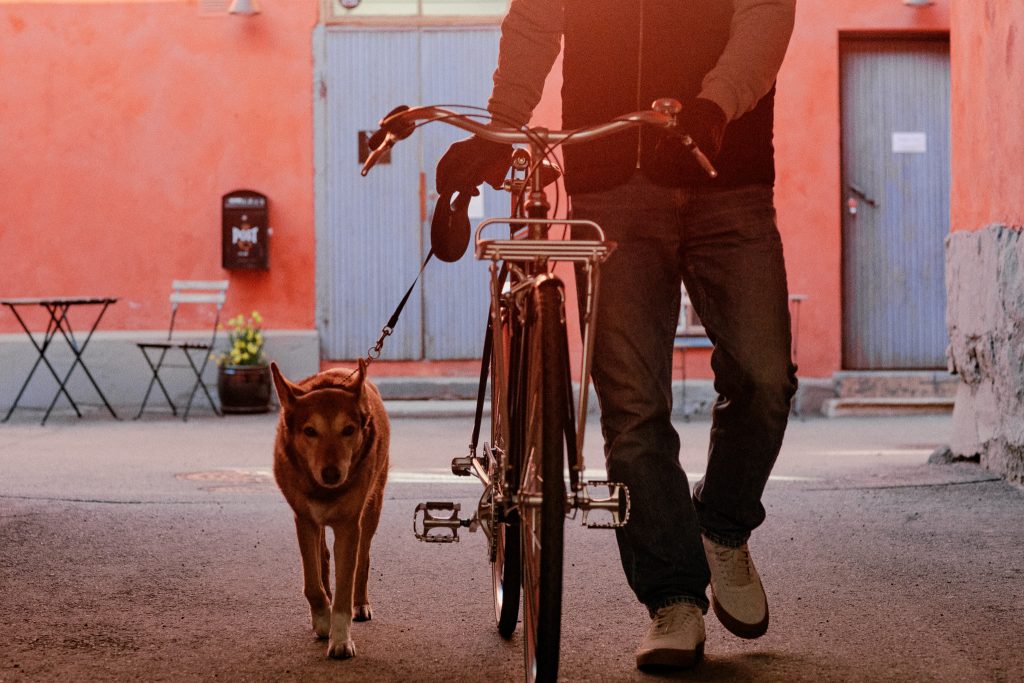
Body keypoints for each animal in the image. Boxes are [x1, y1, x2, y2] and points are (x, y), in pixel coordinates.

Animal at [270, 360, 389, 659]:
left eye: (348, 430)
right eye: (310, 431)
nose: (332, 474)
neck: (322, 489)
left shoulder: (349, 525)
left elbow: (345, 584)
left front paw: (341, 639)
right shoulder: (304, 520)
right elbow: (312, 582)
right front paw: (322, 618)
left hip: (373, 506)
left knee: (363, 558)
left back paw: (361, 603)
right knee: (322, 558)